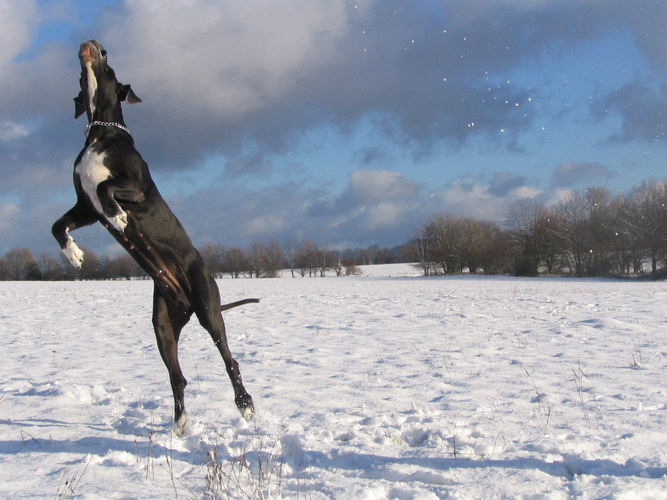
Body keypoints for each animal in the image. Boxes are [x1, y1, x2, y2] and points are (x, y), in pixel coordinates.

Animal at [52, 40, 254, 434]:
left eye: (108, 61)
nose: (92, 44)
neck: (101, 134)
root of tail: (187, 302)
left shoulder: (135, 187)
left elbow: (106, 187)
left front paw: (117, 216)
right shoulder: (83, 205)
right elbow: (58, 225)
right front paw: (74, 255)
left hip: (208, 307)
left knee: (229, 359)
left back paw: (245, 405)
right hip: (162, 324)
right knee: (178, 377)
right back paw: (179, 425)